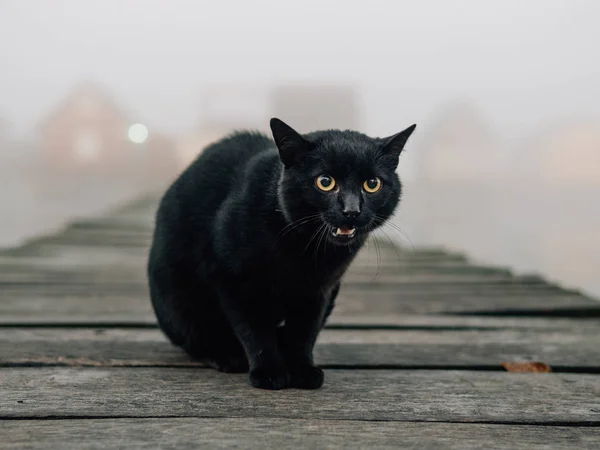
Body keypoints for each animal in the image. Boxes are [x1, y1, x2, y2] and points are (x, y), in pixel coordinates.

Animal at [148, 118, 414, 388]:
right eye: (325, 181)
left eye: (372, 184)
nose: (351, 210)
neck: (307, 252)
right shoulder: (233, 280)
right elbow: (255, 331)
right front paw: (268, 372)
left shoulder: (320, 290)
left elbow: (303, 332)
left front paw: (301, 370)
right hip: (179, 300)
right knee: (198, 336)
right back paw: (228, 357)